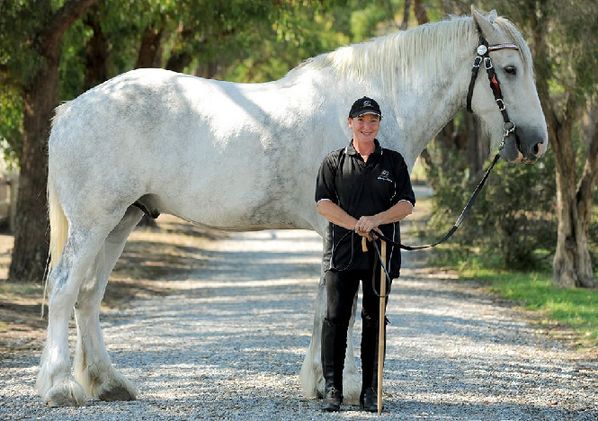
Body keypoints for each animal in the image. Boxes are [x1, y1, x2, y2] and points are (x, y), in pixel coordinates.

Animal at [37, 8, 548, 406]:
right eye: (511, 70)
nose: (536, 143)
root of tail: (73, 108)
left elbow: (328, 303)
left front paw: (322, 383)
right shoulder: (341, 230)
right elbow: (338, 305)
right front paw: (339, 386)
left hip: (121, 220)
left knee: (89, 296)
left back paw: (108, 384)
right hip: (94, 221)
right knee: (64, 290)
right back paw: (59, 388)